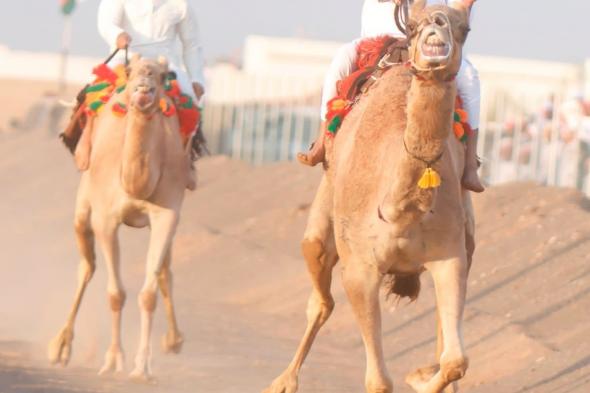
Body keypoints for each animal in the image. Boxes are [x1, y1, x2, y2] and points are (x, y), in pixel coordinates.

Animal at [49, 56, 192, 380]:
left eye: (164, 75)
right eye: (130, 71)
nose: (143, 89)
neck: (136, 182)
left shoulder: (167, 215)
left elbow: (148, 294)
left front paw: (143, 367)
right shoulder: (106, 219)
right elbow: (115, 294)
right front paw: (113, 360)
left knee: (164, 272)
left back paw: (174, 339)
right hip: (83, 205)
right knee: (87, 267)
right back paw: (60, 346)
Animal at [266, 1, 478, 390]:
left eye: (464, 28)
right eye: (413, 25)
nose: (436, 25)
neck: (400, 209)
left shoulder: (450, 257)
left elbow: (456, 360)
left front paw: (422, 378)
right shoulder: (360, 270)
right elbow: (378, 381)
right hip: (323, 219)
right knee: (321, 297)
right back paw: (283, 381)